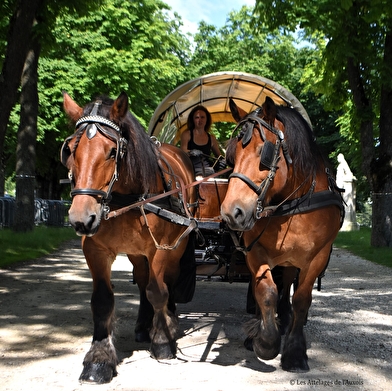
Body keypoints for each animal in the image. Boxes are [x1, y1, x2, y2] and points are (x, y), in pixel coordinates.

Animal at [60, 91, 198, 382]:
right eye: (70, 150)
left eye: (113, 151)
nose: (81, 218)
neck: (127, 197)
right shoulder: (95, 250)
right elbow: (102, 300)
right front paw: (98, 360)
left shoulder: (161, 249)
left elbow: (158, 291)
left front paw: (163, 341)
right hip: (136, 252)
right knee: (144, 280)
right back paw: (144, 326)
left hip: (175, 247)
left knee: (165, 282)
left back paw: (167, 323)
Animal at [220, 98, 344, 374]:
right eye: (232, 155)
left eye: (263, 153)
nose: (231, 213)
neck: (293, 206)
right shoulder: (255, 252)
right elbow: (266, 292)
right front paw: (265, 341)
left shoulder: (317, 256)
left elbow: (301, 299)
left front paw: (295, 353)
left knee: (289, 284)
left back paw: (287, 321)